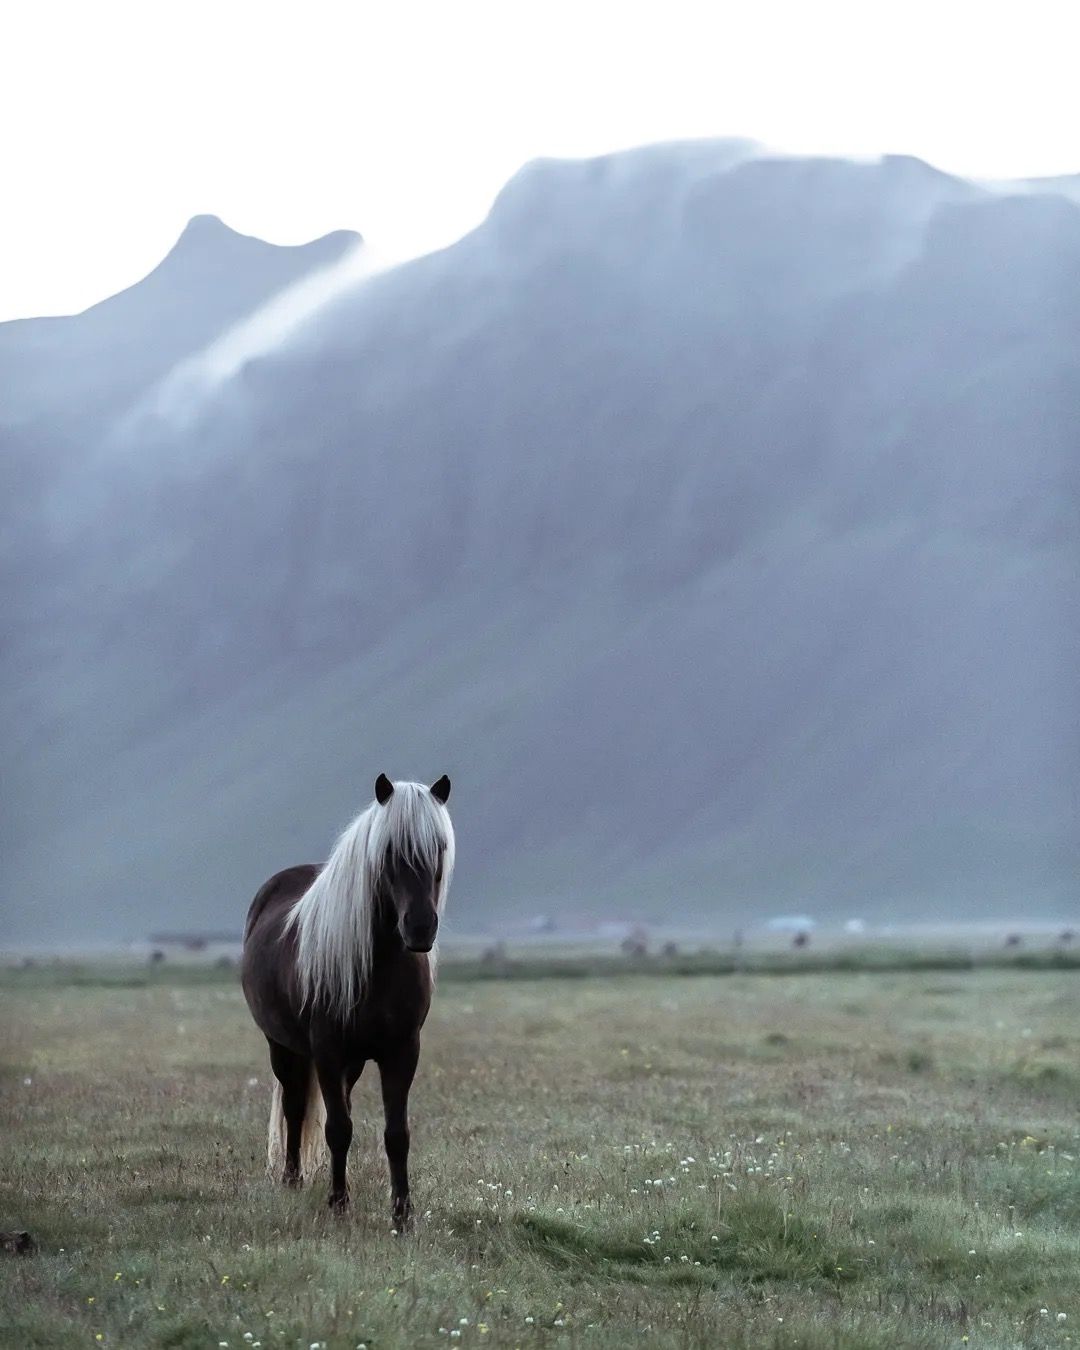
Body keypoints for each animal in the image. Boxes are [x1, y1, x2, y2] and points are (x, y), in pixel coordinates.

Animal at [241, 773, 454, 1219]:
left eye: (439, 847)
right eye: (390, 851)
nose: (420, 927)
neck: (380, 965)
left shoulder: (402, 1051)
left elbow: (396, 1133)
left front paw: (402, 1213)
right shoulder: (327, 1050)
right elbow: (337, 1129)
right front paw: (339, 1204)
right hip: (283, 1047)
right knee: (295, 1106)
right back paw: (292, 1179)